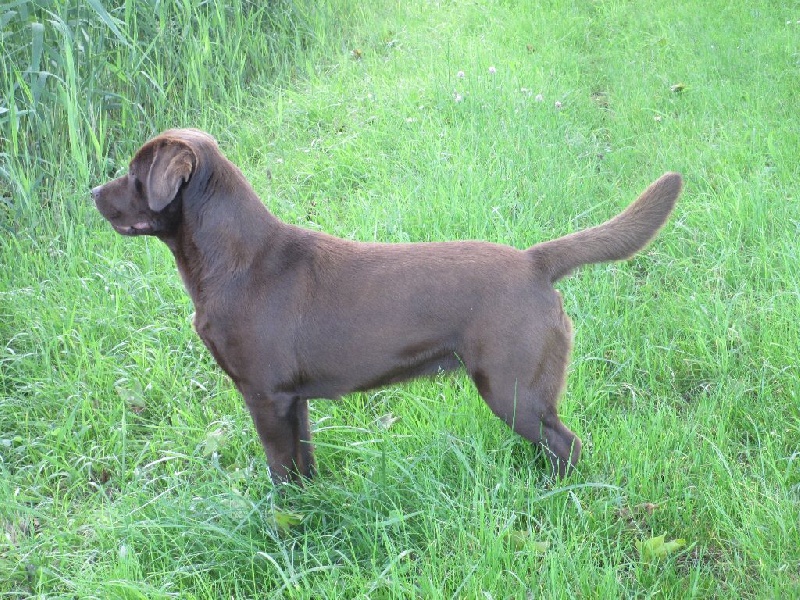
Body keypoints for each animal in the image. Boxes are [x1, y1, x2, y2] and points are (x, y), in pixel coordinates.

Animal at [92, 128, 682, 484]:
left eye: (135, 174)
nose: (92, 192)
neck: (235, 260)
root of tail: (535, 261)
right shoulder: (293, 400)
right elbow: (304, 463)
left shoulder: (265, 396)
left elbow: (280, 472)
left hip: (514, 388)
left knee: (568, 446)